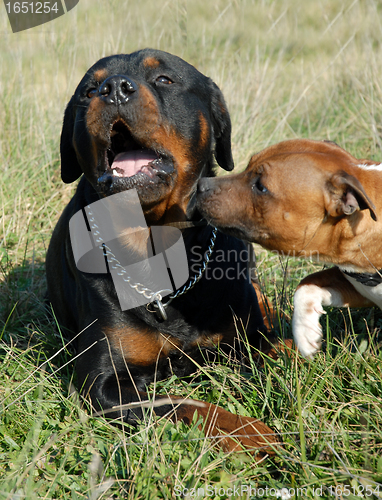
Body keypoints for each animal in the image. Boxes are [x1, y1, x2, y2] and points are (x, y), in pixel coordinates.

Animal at [46, 48, 280, 456]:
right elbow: (184, 404)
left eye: (164, 80)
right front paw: (249, 430)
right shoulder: (105, 386)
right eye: (89, 90)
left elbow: (273, 346)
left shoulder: (248, 336)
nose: (114, 88)